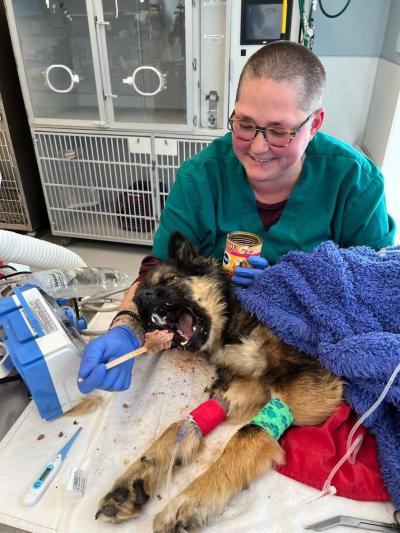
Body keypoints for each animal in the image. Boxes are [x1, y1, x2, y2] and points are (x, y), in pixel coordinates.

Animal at [95, 233, 342, 532]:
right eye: (142, 291)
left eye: (168, 280)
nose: (141, 299)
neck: (232, 324)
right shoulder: (243, 386)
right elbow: (179, 425)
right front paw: (137, 478)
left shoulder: (313, 383)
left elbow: (246, 434)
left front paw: (191, 499)